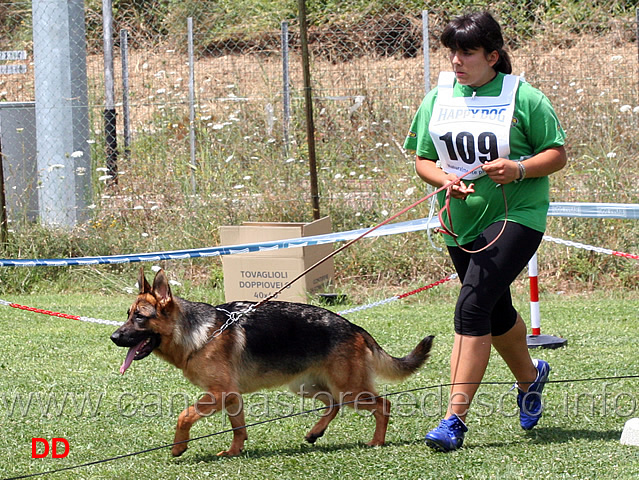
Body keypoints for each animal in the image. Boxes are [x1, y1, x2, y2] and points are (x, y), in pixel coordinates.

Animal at [111, 270, 436, 458]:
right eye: (127, 315)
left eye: (139, 317)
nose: (113, 337)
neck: (198, 333)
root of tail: (354, 327)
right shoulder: (231, 396)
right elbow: (238, 428)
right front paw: (234, 451)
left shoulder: (218, 393)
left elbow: (184, 415)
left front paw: (179, 446)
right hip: (307, 386)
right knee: (333, 404)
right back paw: (316, 432)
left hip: (350, 390)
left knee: (383, 405)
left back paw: (377, 442)